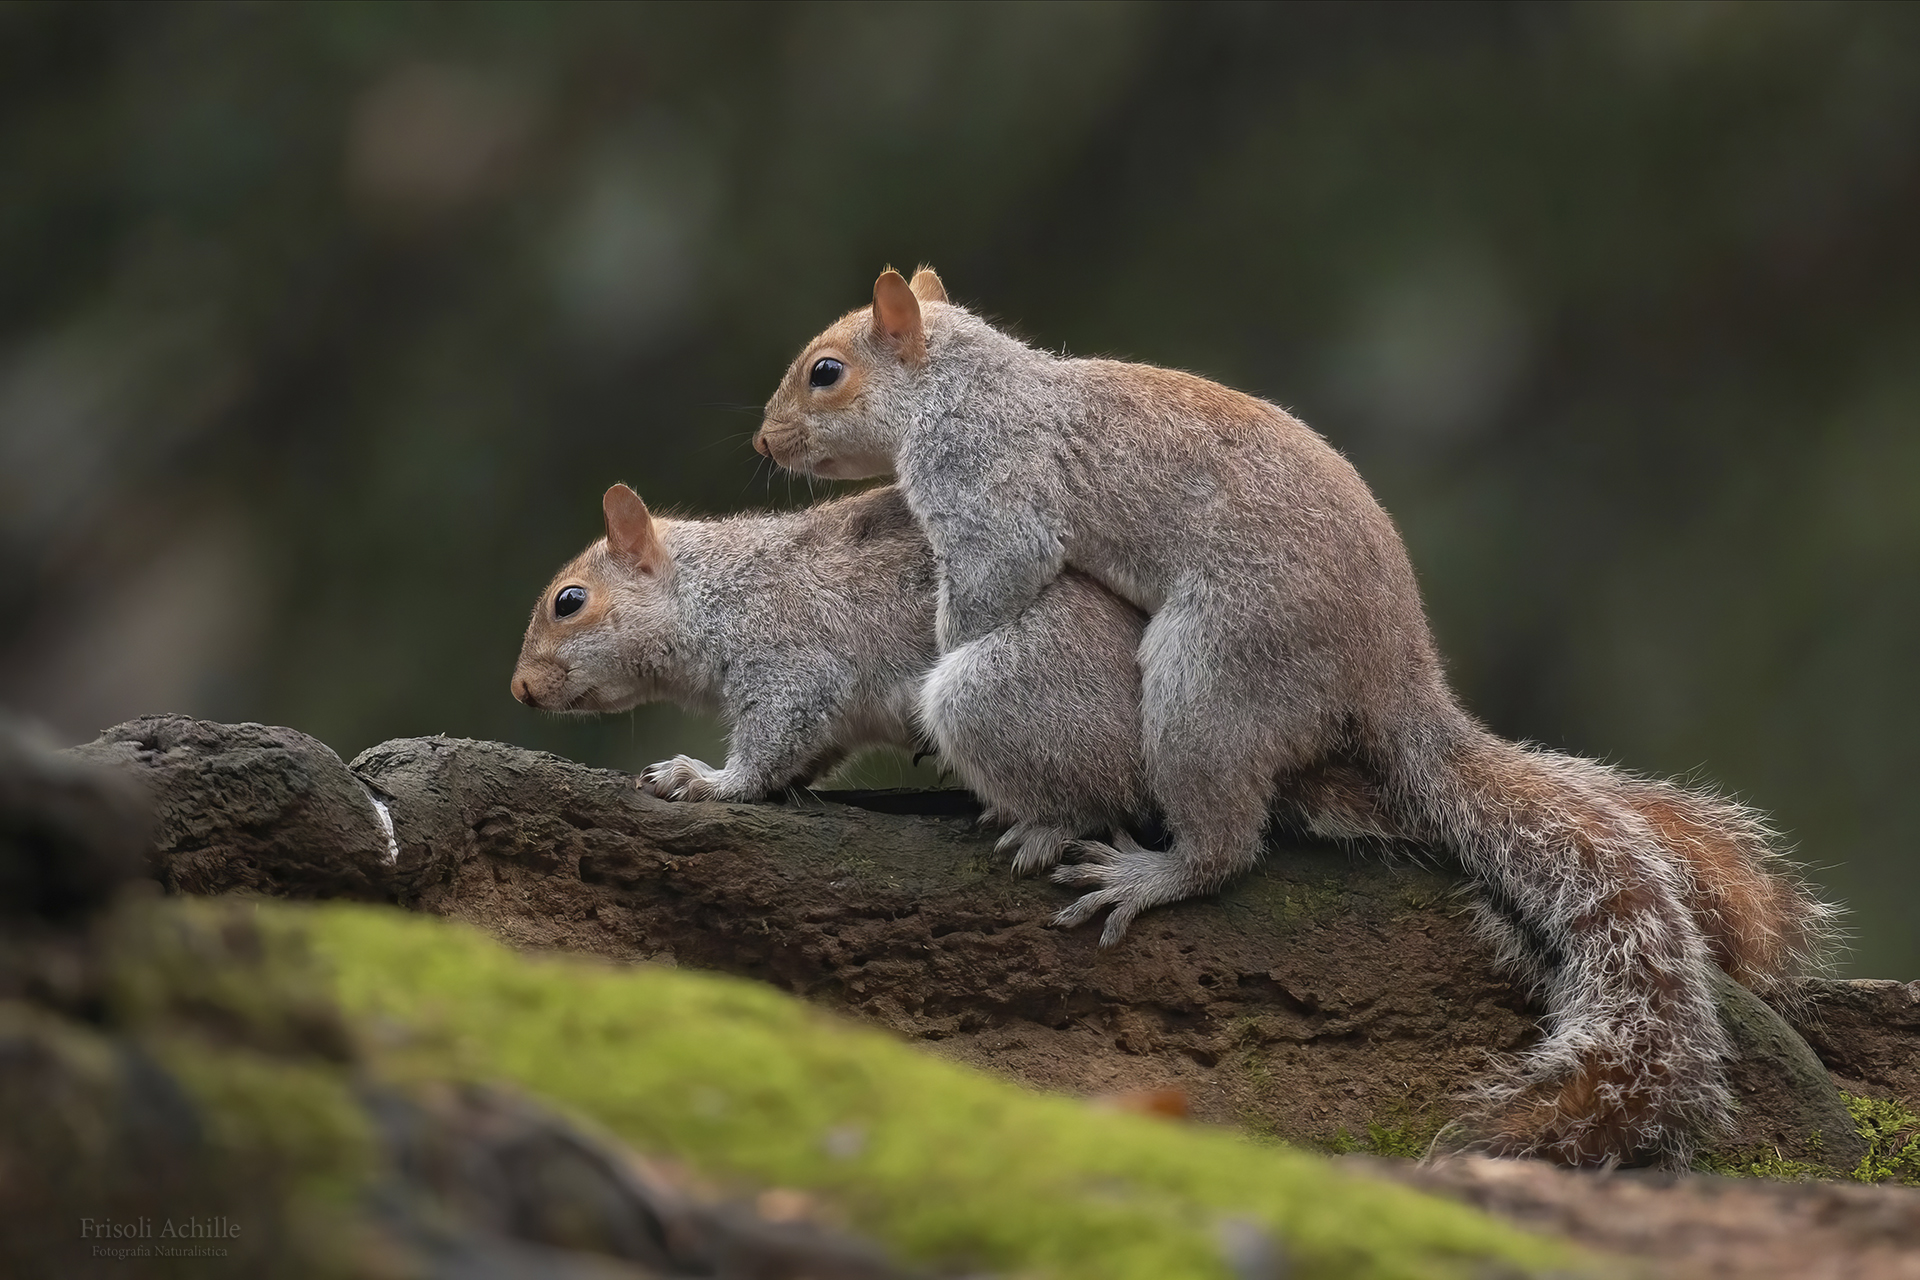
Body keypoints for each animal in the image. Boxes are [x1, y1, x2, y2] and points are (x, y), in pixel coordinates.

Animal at [511, 482, 1148, 868]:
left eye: (569, 601)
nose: (519, 689)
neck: (716, 590)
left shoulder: (789, 655)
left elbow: (770, 740)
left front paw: (705, 781)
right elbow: (809, 750)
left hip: (1006, 690)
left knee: (1106, 797)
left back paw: (1047, 826)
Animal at [752, 266, 1838, 1166]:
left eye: (825, 373)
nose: (763, 441)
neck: (963, 383)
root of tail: (1395, 675)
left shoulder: (988, 485)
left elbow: (989, 592)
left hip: (1210, 676)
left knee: (1233, 844)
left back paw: (1150, 875)